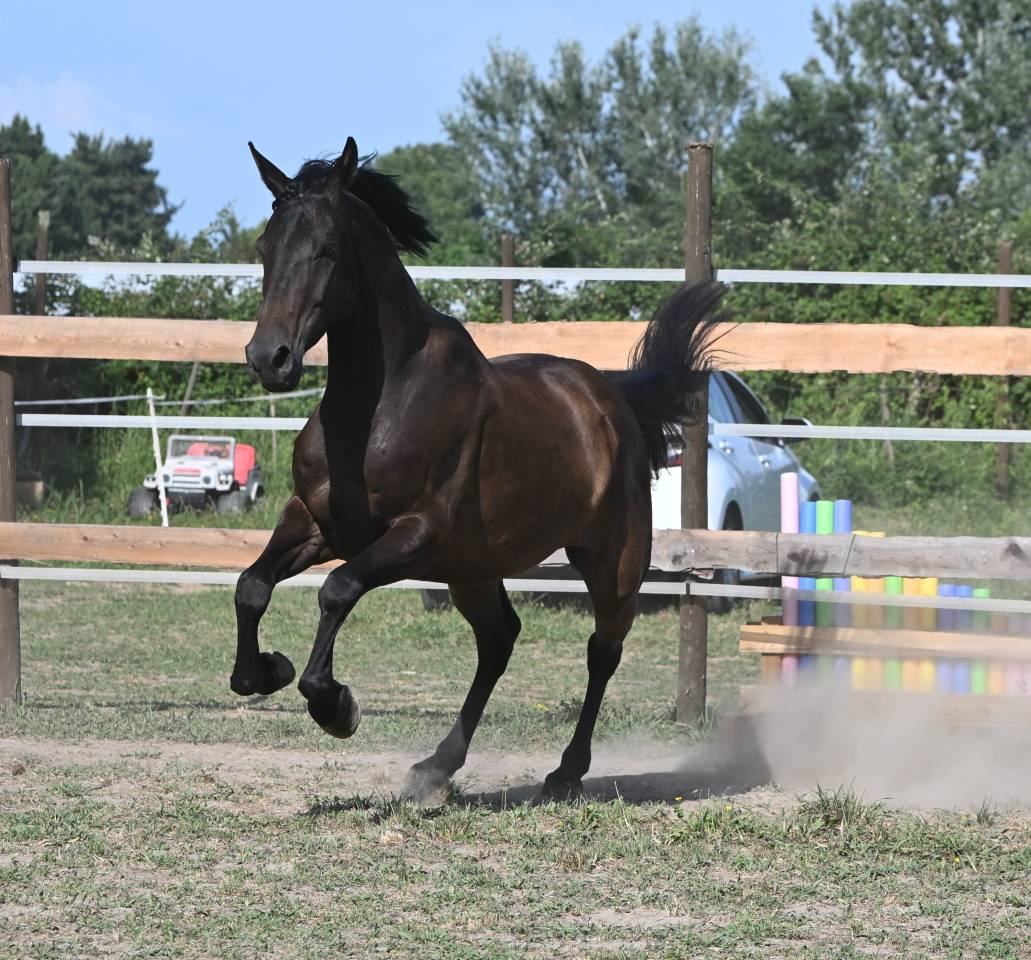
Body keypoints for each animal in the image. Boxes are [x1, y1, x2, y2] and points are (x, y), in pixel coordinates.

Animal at [230, 136, 723, 799]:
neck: (377, 407)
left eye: (327, 249)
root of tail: (612, 397)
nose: (270, 358)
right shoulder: (315, 521)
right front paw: (265, 671)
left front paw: (335, 705)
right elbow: (252, 586)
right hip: (472, 570)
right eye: (266, 246)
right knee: (499, 641)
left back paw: (566, 772)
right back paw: (436, 766)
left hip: (613, 561)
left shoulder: (415, 535)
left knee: (601, 651)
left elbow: (336, 591)